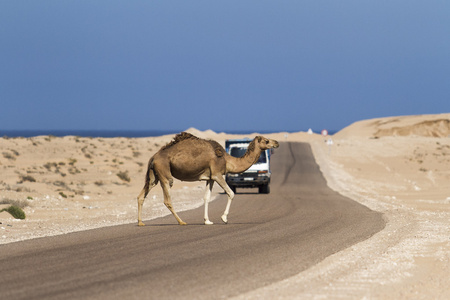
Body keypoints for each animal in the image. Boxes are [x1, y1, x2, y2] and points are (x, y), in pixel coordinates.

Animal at [135, 132, 280, 226]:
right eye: (266, 141)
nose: (277, 143)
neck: (227, 160)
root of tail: (153, 157)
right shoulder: (217, 174)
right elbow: (231, 193)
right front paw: (224, 218)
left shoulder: (210, 178)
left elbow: (206, 198)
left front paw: (207, 221)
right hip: (164, 173)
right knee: (167, 199)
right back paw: (181, 221)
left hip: (154, 176)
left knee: (142, 195)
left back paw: (141, 222)